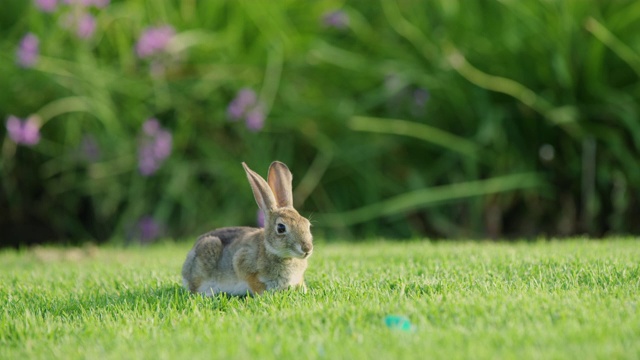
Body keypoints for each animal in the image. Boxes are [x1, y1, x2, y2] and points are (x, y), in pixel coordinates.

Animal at [181, 161, 314, 296]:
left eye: (307, 224)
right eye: (281, 228)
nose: (307, 248)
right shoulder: (244, 264)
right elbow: (255, 283)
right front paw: (263, 295)